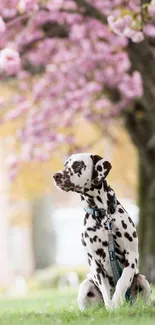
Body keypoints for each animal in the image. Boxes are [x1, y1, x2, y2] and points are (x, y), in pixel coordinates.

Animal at [53, 153, 151, 310]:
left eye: (78, 165)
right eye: (65, 165)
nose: (56, 175)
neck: (102, 215)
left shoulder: (131, 256)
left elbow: (122, 281)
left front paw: (116, 302)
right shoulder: (95, 263)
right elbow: (105, 291)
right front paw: (111, 308)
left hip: (143, 280)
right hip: (85, 286)